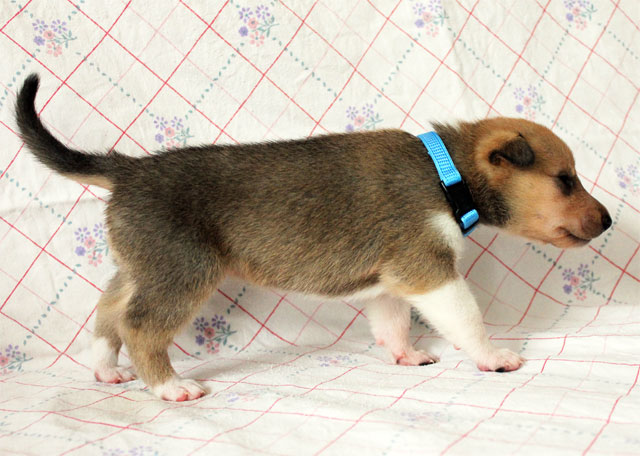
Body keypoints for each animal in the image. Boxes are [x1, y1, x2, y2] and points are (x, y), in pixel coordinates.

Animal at [15, 74, 611, 401]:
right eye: (565, 179)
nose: (608, 222)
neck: (448, 175)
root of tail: (128, 169)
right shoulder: (428, 270)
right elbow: (467, 319)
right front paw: (494, 357)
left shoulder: (390, 281)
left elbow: (391, 324)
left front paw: (406, 356)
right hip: (182, 272)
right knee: (139, 325)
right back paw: (169, 387)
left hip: (139, 266)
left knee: (109, 311)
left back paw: (105, 369)